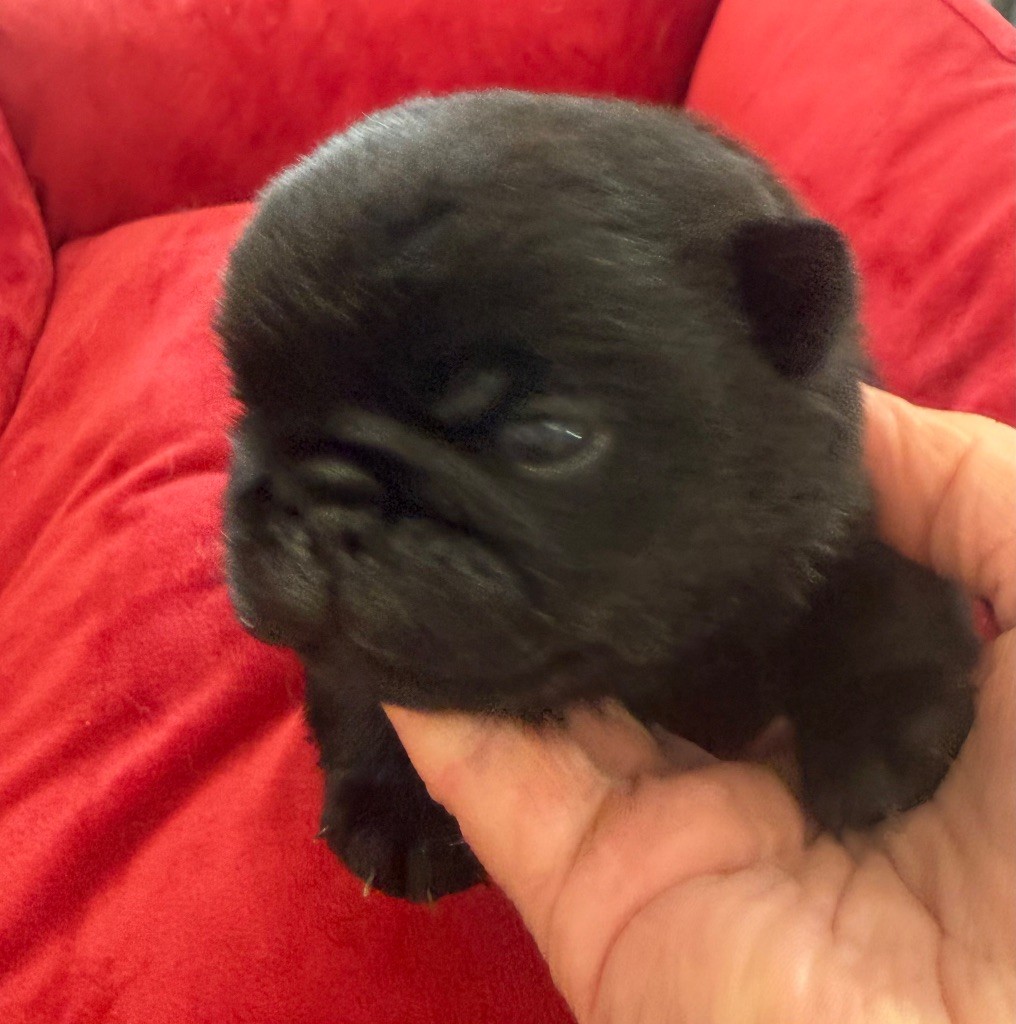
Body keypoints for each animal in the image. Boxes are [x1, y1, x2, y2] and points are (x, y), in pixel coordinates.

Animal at [216, 90, 978, 901]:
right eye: (248, 411)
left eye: (548, 437)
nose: (325, 494)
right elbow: (353, 672)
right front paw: (395, 800)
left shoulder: (843, 502)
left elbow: (875, 589)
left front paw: (880, 725)